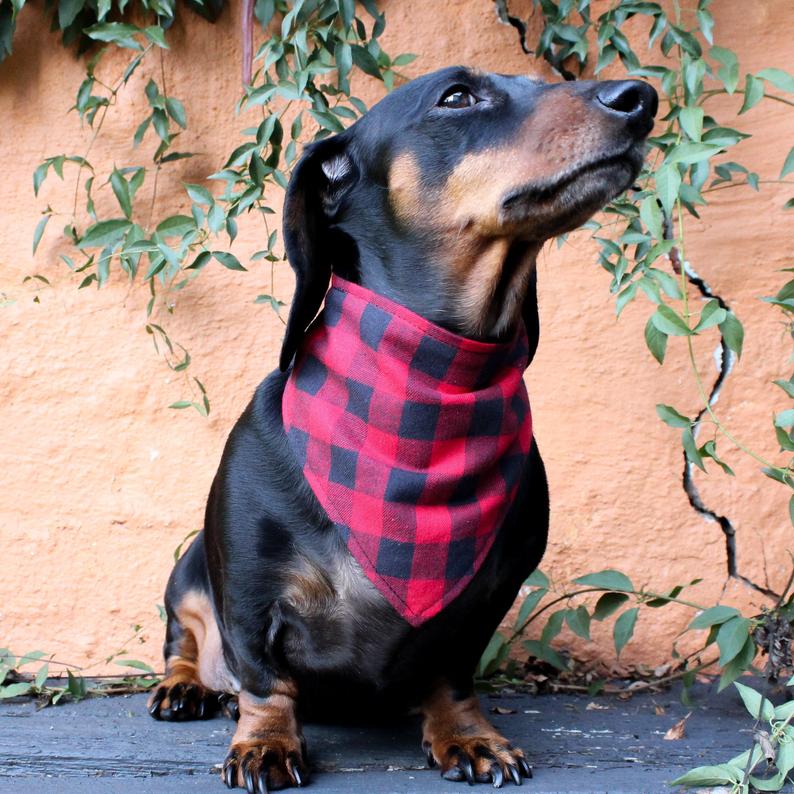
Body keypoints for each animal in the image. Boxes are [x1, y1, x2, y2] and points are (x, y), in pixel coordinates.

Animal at [148, 66, 656, 784]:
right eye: (457, 97)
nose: (641, 98)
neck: (427, 385)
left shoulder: (484, 602)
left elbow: (451, 677)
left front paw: (469, 735)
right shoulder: (247, 588)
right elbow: (264, 681)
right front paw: (265, 742)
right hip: (188, 568)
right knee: (186, 640)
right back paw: (186, 687)